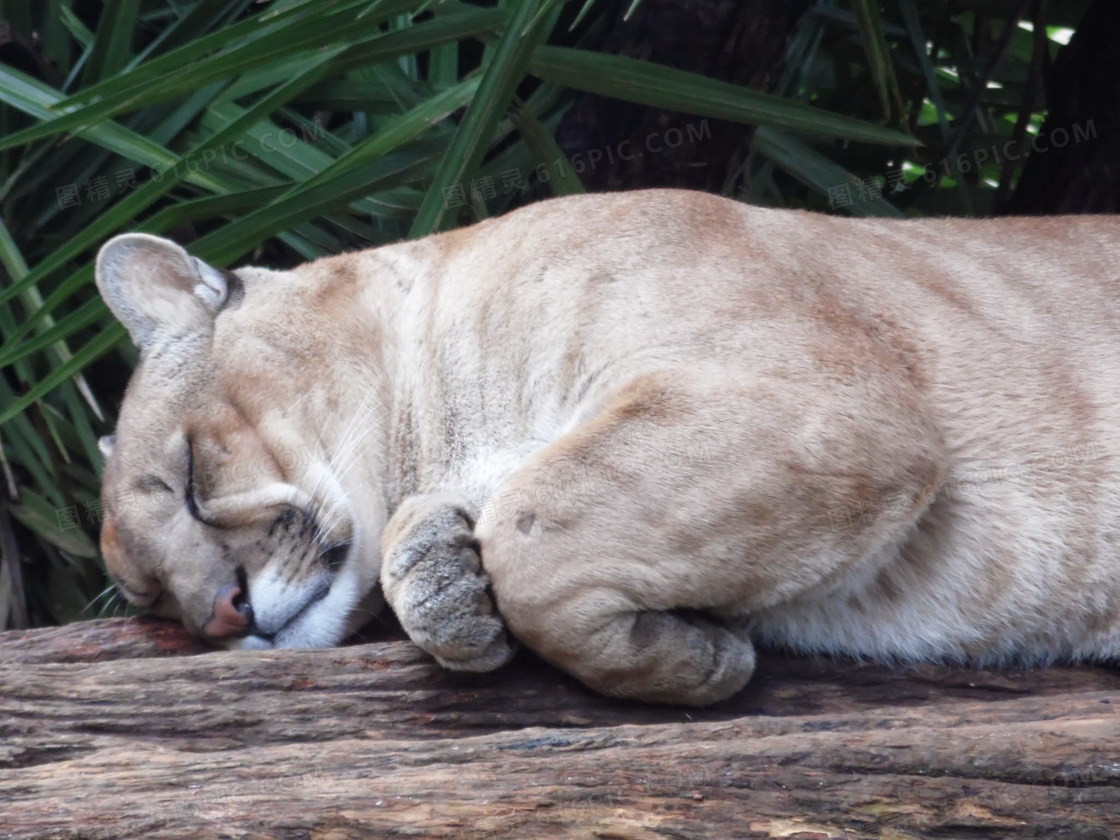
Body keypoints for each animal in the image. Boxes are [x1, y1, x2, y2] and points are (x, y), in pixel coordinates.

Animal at [94, 189, 1120, 703]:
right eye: (154, 600)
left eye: (190, 477)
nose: (219, 615)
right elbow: (512, 512)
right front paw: (445, 586)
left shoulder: (818, 397)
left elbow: (537, 534)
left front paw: (700, 667)